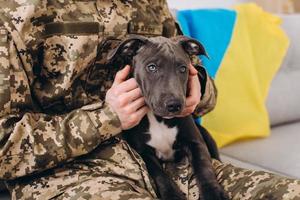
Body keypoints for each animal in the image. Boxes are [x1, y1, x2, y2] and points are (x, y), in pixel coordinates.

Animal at [108, 35, 227, 199]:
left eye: (183, 68)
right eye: (152, 67)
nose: (174, 105)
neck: (160, 120)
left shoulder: (196, 143)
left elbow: (204, 167)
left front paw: (213, 192)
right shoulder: (144, 153)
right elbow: (160, 175)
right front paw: (172, 194)